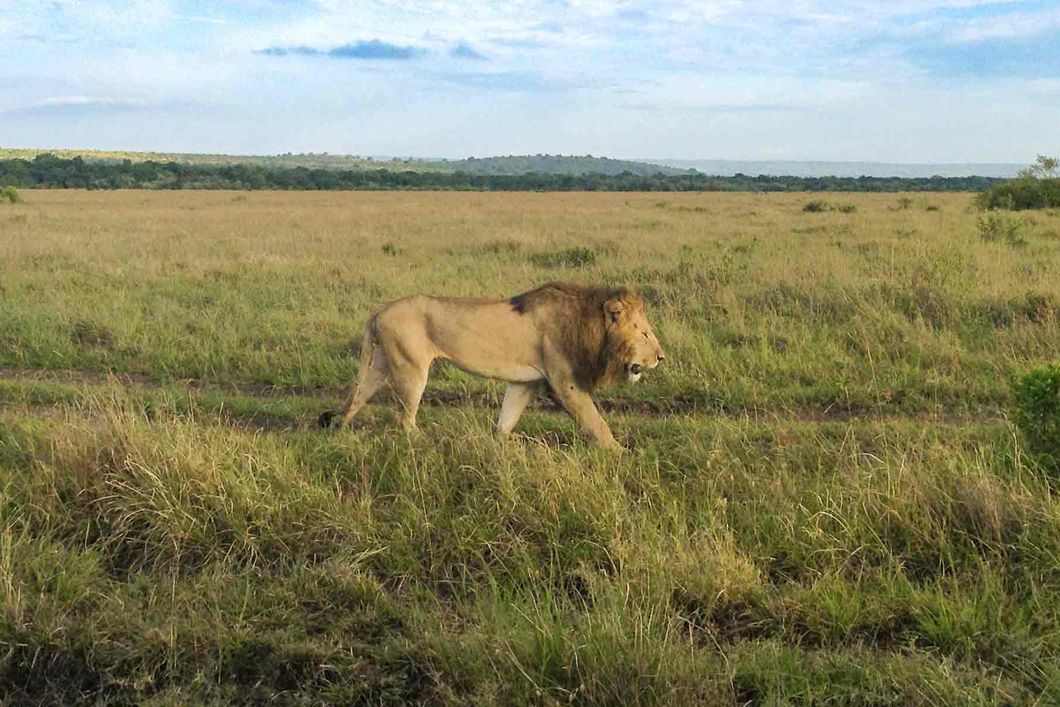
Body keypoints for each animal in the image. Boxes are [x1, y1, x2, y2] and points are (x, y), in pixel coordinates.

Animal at [315, 279, 661, 447]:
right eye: (644, 332)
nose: (661, 357)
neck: (588, 322)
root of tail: (380, 310)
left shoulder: (525, 381)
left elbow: (507, 418)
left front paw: (507, 442)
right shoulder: (566, 384)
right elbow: (596, 422)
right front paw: (621, 453)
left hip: (380, 364)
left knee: (357, 397)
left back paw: (340, 433)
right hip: (411, 369)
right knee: (404, 419)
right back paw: (428, 441)